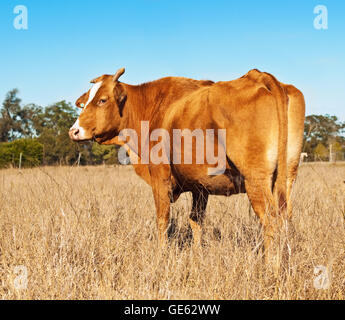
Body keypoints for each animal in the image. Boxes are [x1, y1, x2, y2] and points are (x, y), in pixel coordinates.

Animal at [69, 68, 304, 255]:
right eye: (84, 103)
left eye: (102, 100)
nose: (74, 131)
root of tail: (259, 76)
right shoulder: (201, 187)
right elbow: (196, 220)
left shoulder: (160, 177)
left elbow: (163, 219)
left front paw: (162, 254)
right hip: (287, 178)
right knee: (285, 217)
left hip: (256, 180)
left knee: (270, 220)